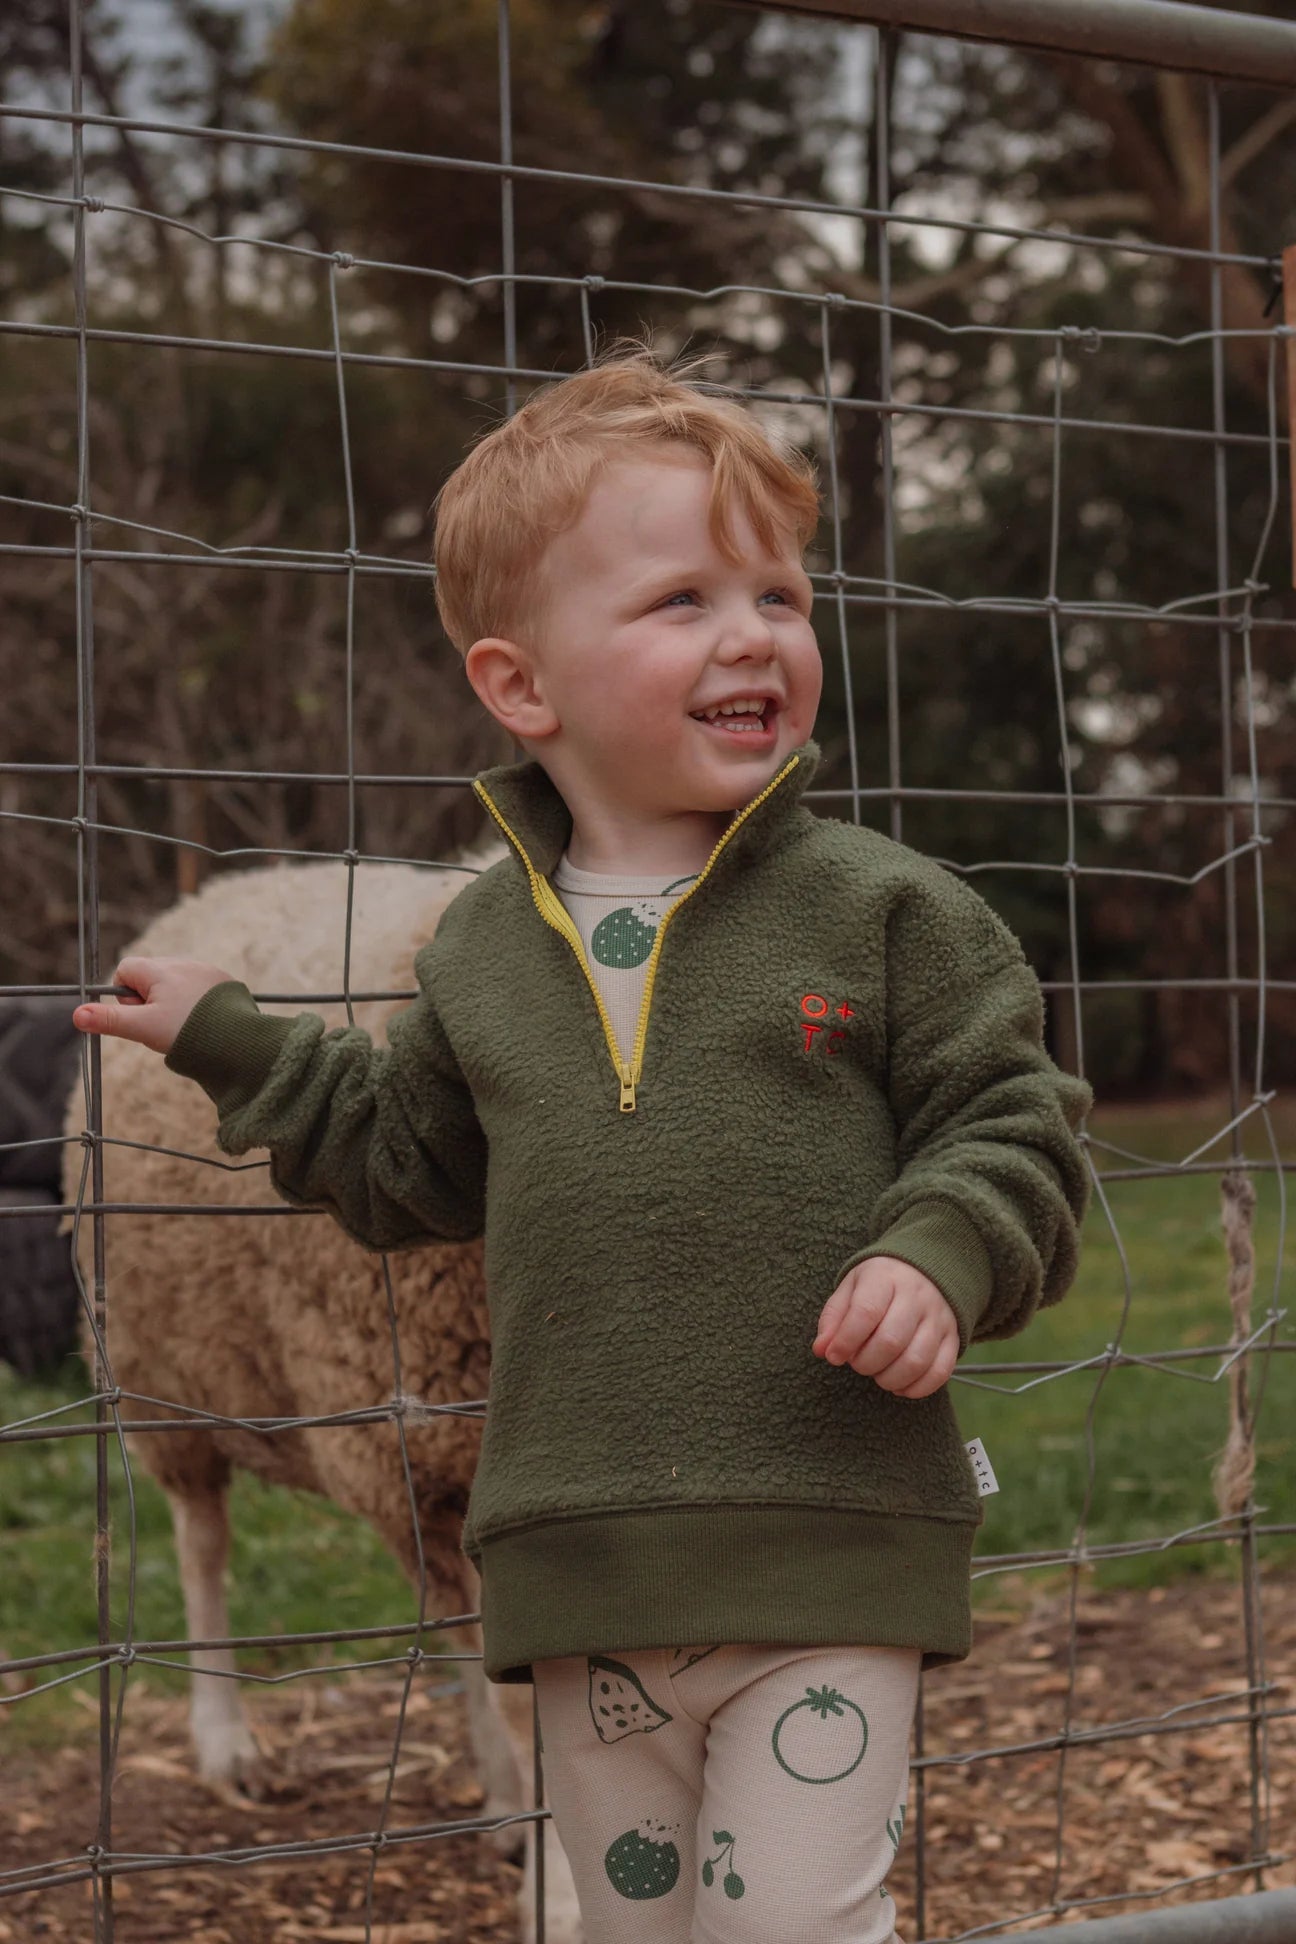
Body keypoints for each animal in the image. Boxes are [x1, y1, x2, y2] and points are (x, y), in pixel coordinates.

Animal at [59, 847, 582, 1944]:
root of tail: (232, 881)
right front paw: (559, 1899)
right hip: (171, 1390)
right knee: (201, 1544)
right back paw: (227, 1740)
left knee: (440, 1617)